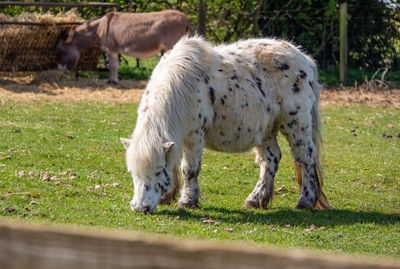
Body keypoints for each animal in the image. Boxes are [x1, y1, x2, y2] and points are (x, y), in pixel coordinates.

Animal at [119, 35, 332, 213]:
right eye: (133, 173)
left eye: (157, 172)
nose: (140, 207)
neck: (182, 85)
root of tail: (305, 60)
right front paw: (168, 197)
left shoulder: (194, 137)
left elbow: (189, 170)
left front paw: (187, 201)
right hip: (266, 129)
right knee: (271, 159)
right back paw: (256, 199)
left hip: (296, 124)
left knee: (306, 158)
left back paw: (305, 201)